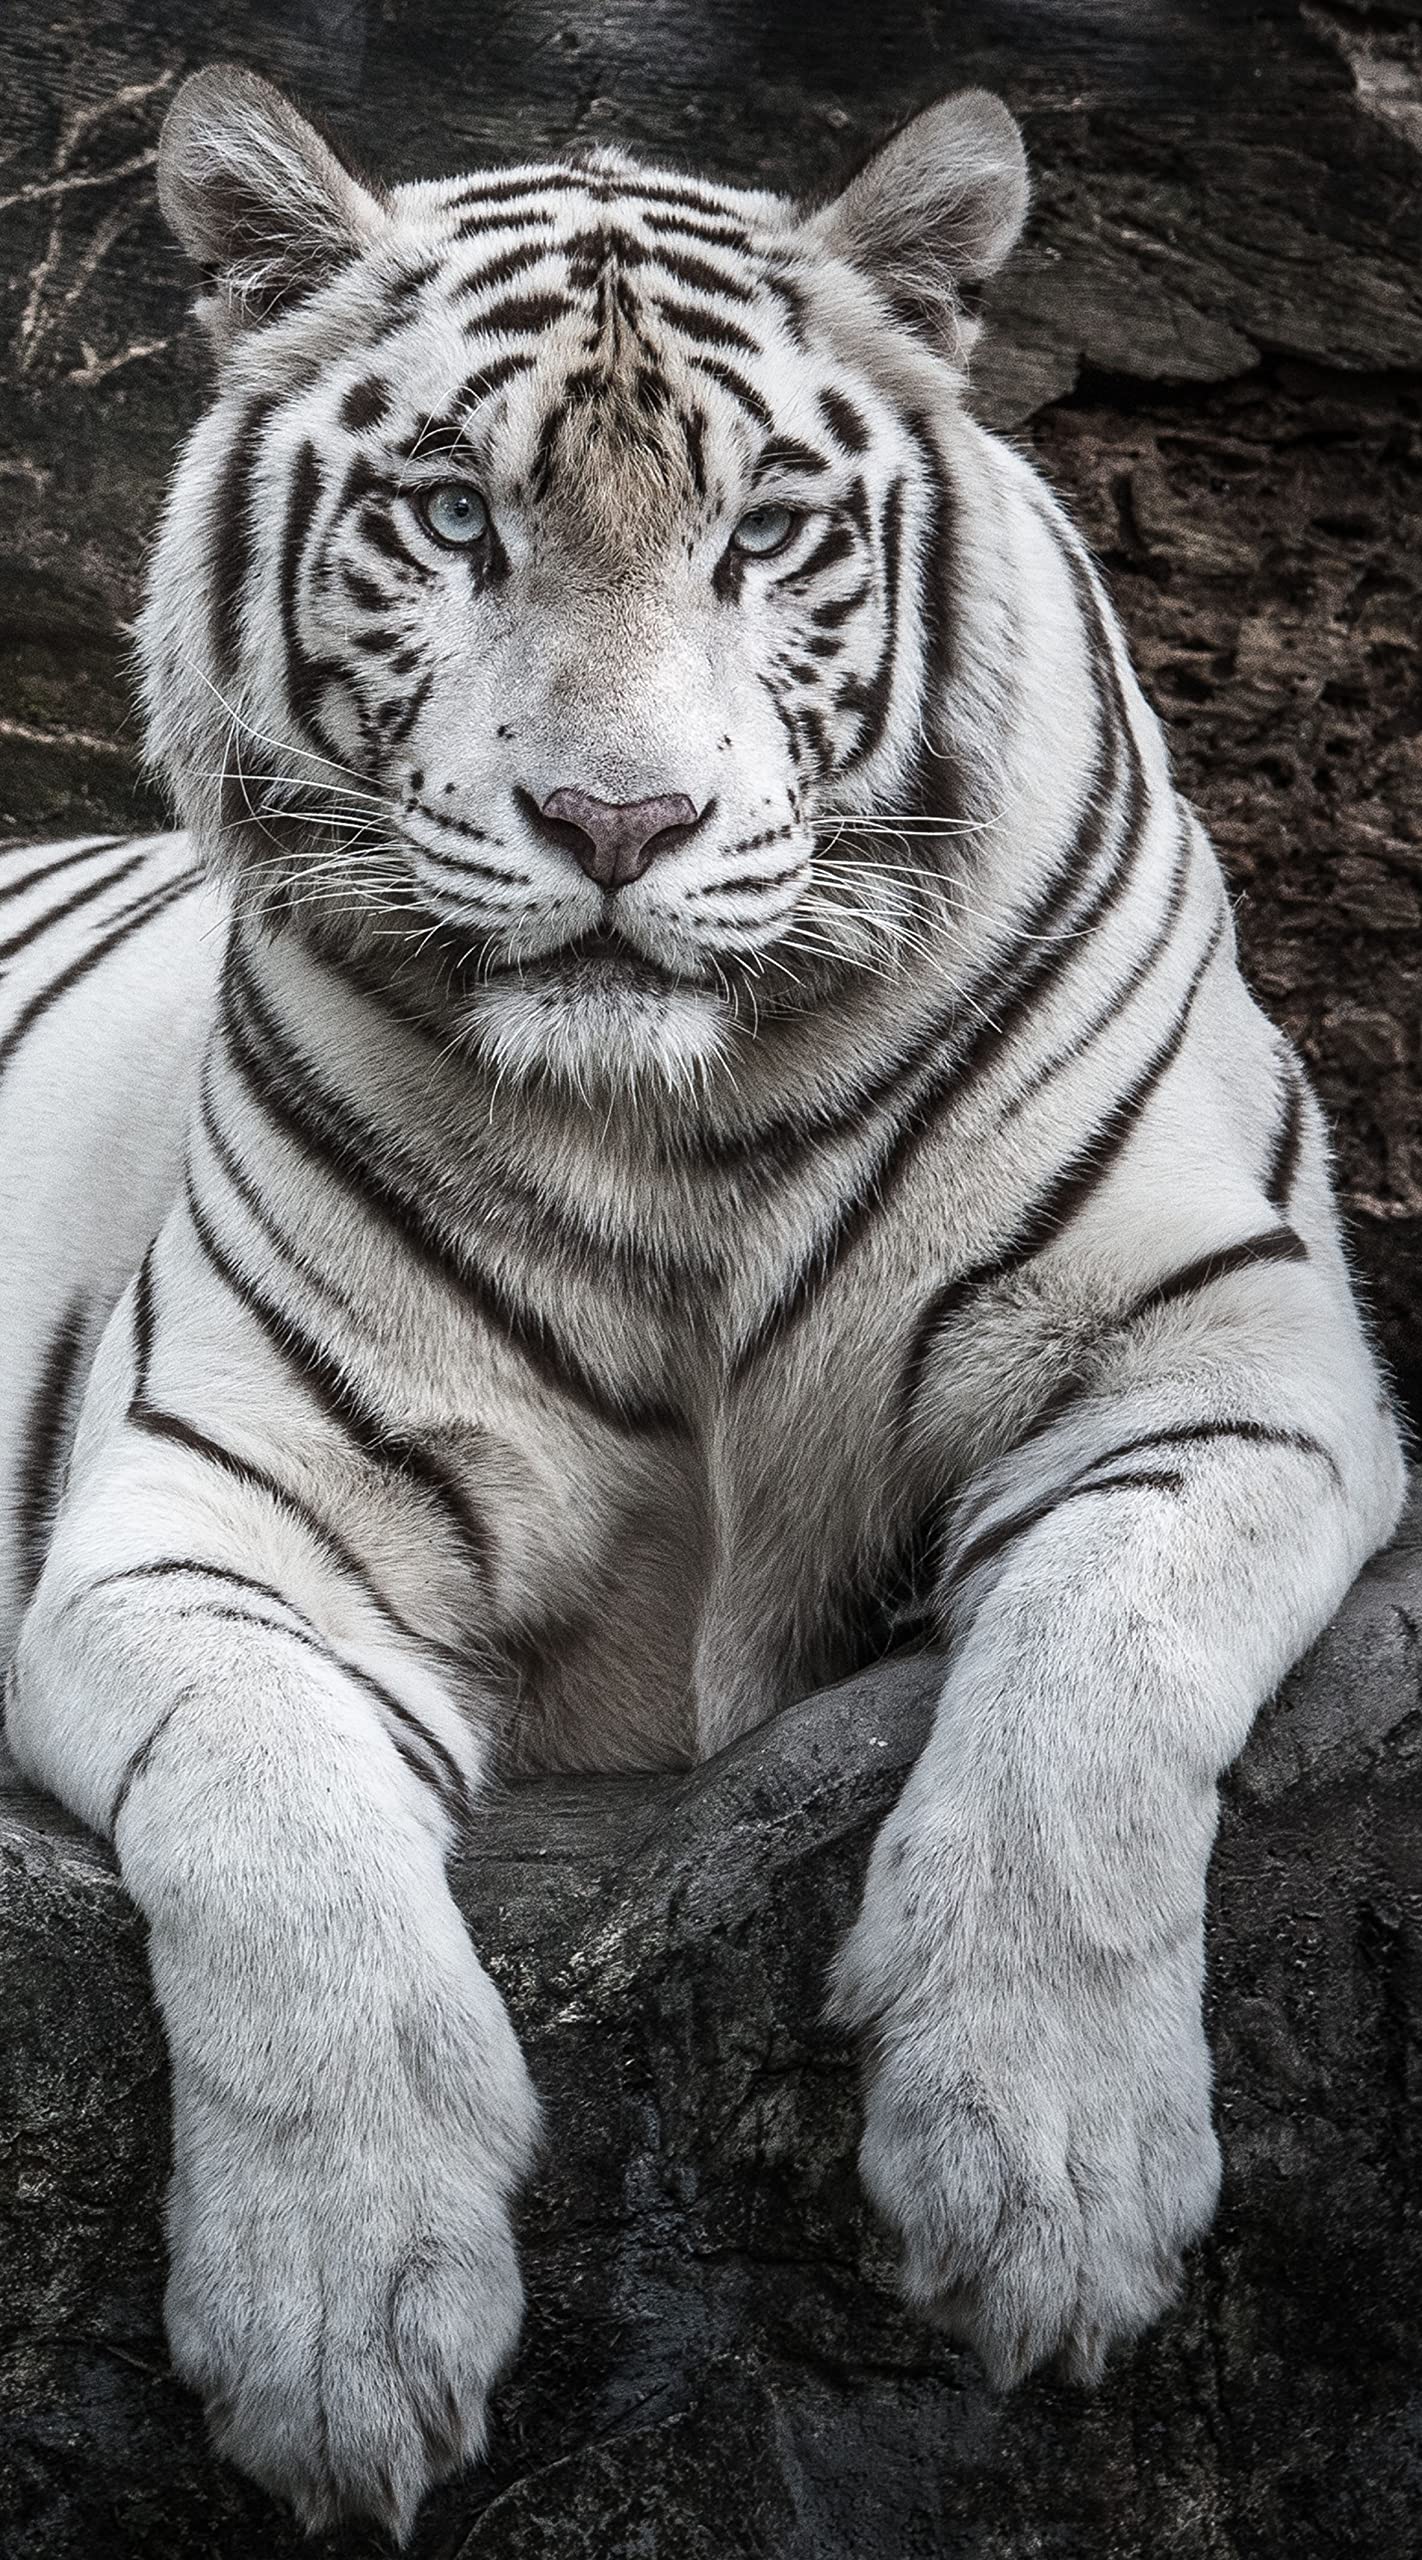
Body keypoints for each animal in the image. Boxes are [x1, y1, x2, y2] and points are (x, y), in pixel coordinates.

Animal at [0, 60, 1405, 2541]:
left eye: (764, 532)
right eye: (452, 514)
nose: (618, 823)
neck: (685, 1129)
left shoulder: (1218, 1350)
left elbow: (1095, 1668)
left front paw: (1044, 2181)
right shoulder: (208, 1511)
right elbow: (273, 1826)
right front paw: (339, 2314)